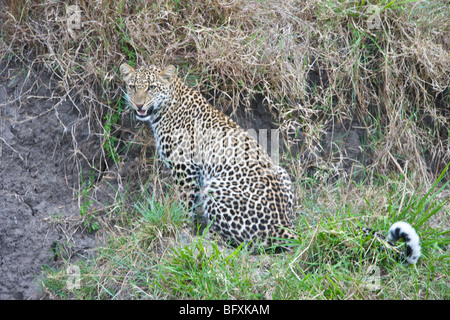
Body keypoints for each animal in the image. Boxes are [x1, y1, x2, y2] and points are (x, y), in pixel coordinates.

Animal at [119, 63, 422, 262]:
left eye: (151, 87)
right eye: (133, 87)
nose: (139, 105)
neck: (166, 108)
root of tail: (286, 226)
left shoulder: (185, 171)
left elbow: (185, 207)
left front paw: (181, 232)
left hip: (215, 188)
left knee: (243, 242)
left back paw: (208, 240)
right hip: (282, 172)